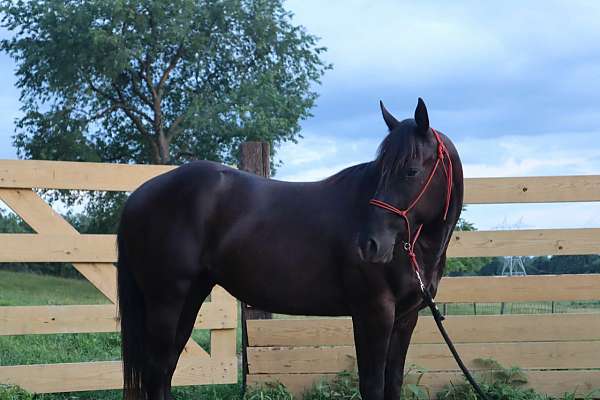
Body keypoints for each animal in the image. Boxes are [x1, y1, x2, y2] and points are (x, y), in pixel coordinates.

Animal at [117, 97, 464, 400]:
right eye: (381, 171)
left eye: (411, 171)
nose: (370, 244)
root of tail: (138, 196)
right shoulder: (373, 312)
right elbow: (372, 387)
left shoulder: (405, 318)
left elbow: (393, 384)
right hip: (166, 301)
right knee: (157, 371)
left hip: (189, 298)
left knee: (166, 370)